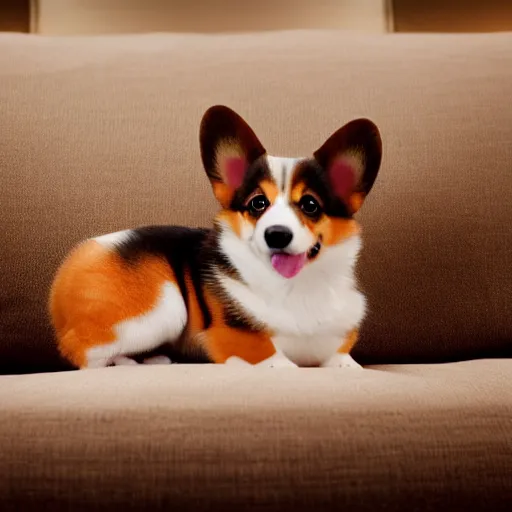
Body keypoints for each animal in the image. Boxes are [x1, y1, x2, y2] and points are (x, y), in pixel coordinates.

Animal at [50, 105, 382, 368]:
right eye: (257, 203)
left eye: (310, 205)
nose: (276, 235)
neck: (297, 288)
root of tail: (72, 264)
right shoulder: (238, 339)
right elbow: (277, 360)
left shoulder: (337, 347)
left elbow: (344, 361)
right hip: (166, 308)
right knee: (85, 352)